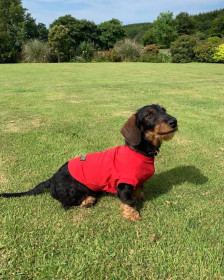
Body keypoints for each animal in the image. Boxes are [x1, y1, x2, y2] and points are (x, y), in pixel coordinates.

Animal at [0, 104, 178, 221]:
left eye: (164, 110)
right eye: (148, 115)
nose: (174, 121)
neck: (139, 152)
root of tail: (52, 179)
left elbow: (140, 189)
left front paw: (141, 196)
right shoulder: (124, 185)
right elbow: (129, 202)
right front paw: (133, 216)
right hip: (73, 190)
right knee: (65, 204)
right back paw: (87, 200)